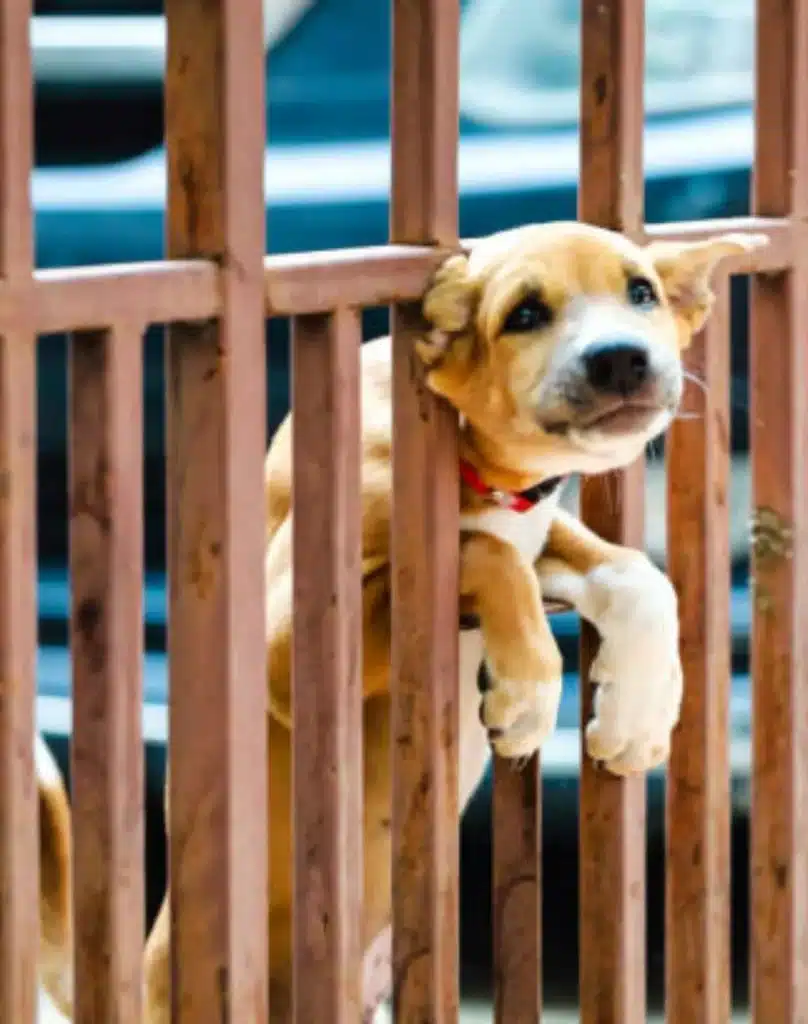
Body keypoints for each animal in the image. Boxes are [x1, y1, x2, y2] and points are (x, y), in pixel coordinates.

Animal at [39, 220, 770, 1019]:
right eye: (523, 314)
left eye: (640, 291)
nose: (621, 358)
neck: (477, 462)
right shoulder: (288, 641)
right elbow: (484, 551)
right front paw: (528, 693)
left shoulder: (541, 531)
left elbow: (634, 573)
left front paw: (638, 713)